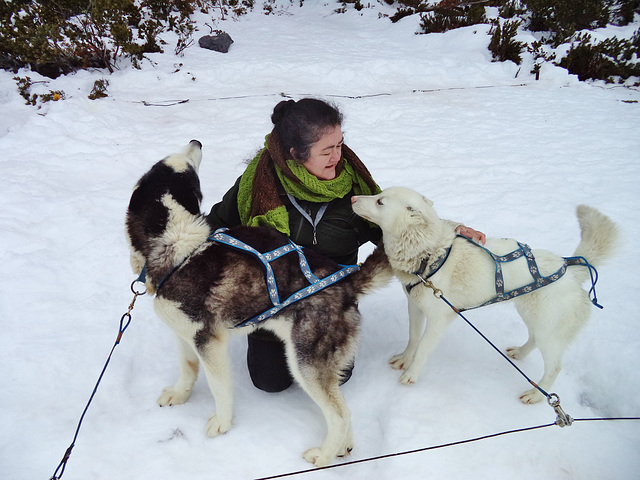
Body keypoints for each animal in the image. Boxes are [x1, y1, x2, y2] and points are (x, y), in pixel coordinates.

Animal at [352, 186, 616, 404]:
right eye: (379, 195)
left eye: (380, 202)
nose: (353, 198)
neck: (428, 254)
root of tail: (570, 268)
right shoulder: (415, 307)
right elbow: (413, 338)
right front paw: (404, 359)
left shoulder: (440, 319)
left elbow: (423, 348)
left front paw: (411, 374)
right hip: (532, 317)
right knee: (532, 339)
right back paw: (520, 353)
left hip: (548, 332)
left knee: (554, 368)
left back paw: (536, 394)